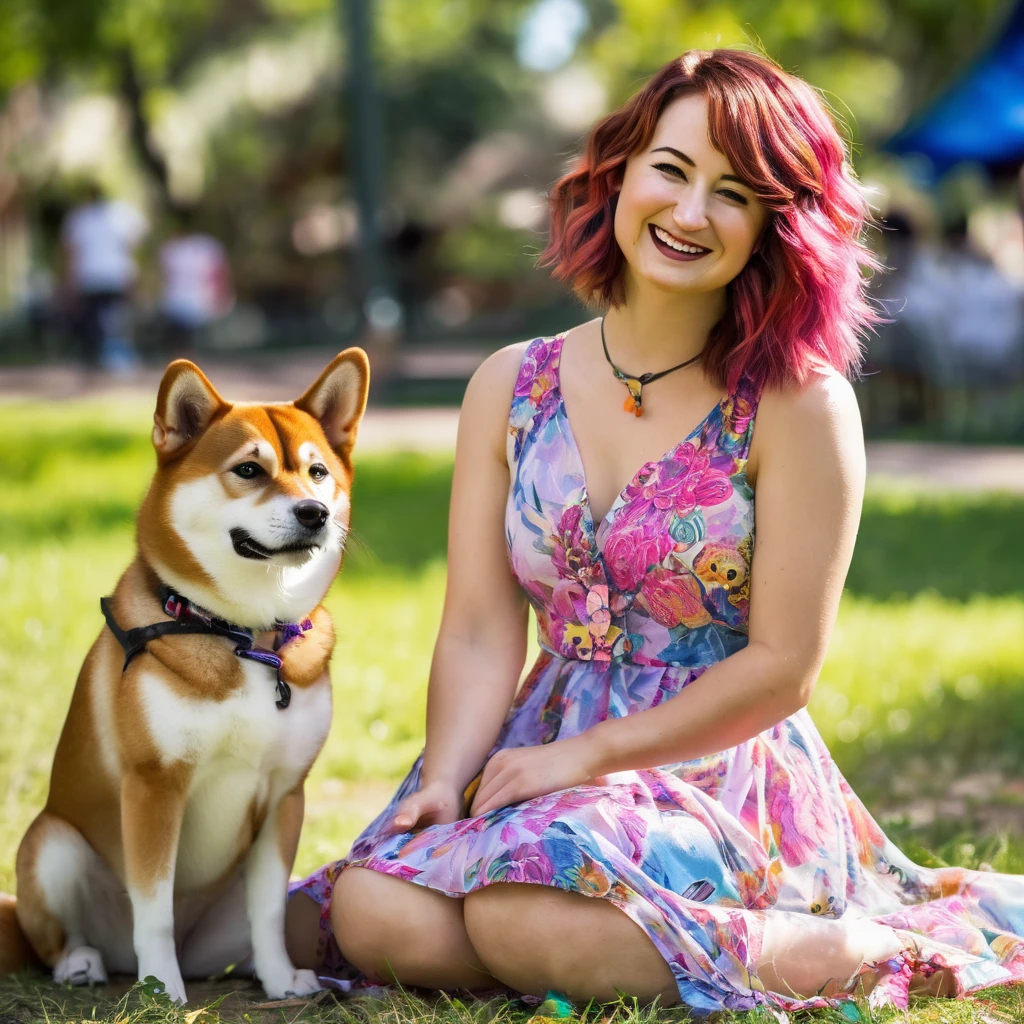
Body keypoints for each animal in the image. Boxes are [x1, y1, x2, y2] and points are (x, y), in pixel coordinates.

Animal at [0, 348, 370, 1003]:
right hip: (52, 845)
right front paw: (160, 991)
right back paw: (84, 963)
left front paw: (280, 980)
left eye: (318, 472)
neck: (246, 638)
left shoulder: (285, 795)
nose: (315, 512)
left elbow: (269, 911)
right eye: (248, 470)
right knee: (55, 937)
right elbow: (154, 906)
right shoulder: (155, 785)